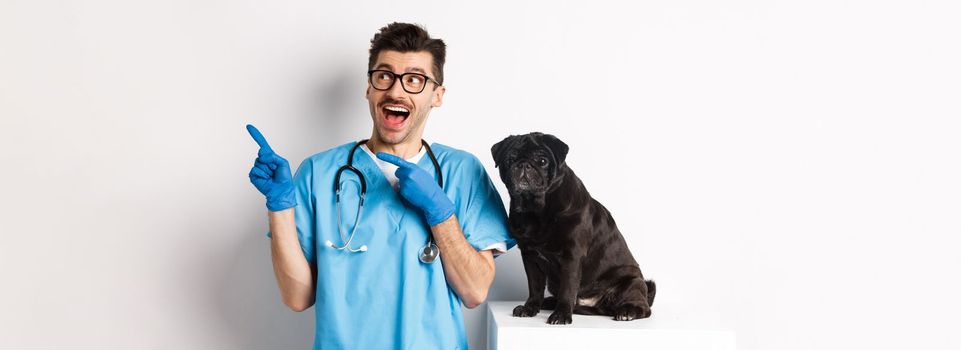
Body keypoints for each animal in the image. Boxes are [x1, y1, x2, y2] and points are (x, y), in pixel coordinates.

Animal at [492, 133, 656, 324]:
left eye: (542, 161)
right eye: (509, 160)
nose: (524, 164)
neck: (537, 209)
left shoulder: (572, 256)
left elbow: (567, 289)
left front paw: (561, 314)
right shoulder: (530, 257)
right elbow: (535, 287)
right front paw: (530, 307)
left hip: (632, 283)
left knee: (643, 308)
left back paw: (628, 312)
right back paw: (548, 302)